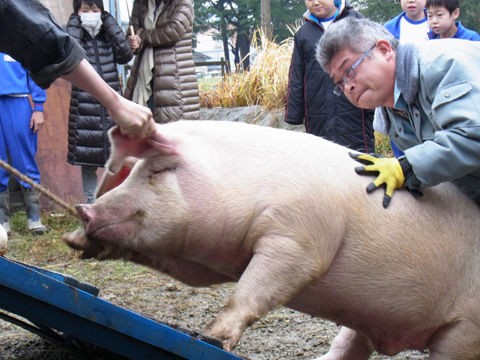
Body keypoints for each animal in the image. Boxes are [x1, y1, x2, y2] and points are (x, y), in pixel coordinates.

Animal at [62, 119, 480, 358]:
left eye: (158, 171)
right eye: (133, 173)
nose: (85, 210)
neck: (249, 179)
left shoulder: (300, 243)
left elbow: (250, 292)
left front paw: (209, 338)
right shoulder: (207, 258)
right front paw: (77, 242)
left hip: (464, 332)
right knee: (350, 344)